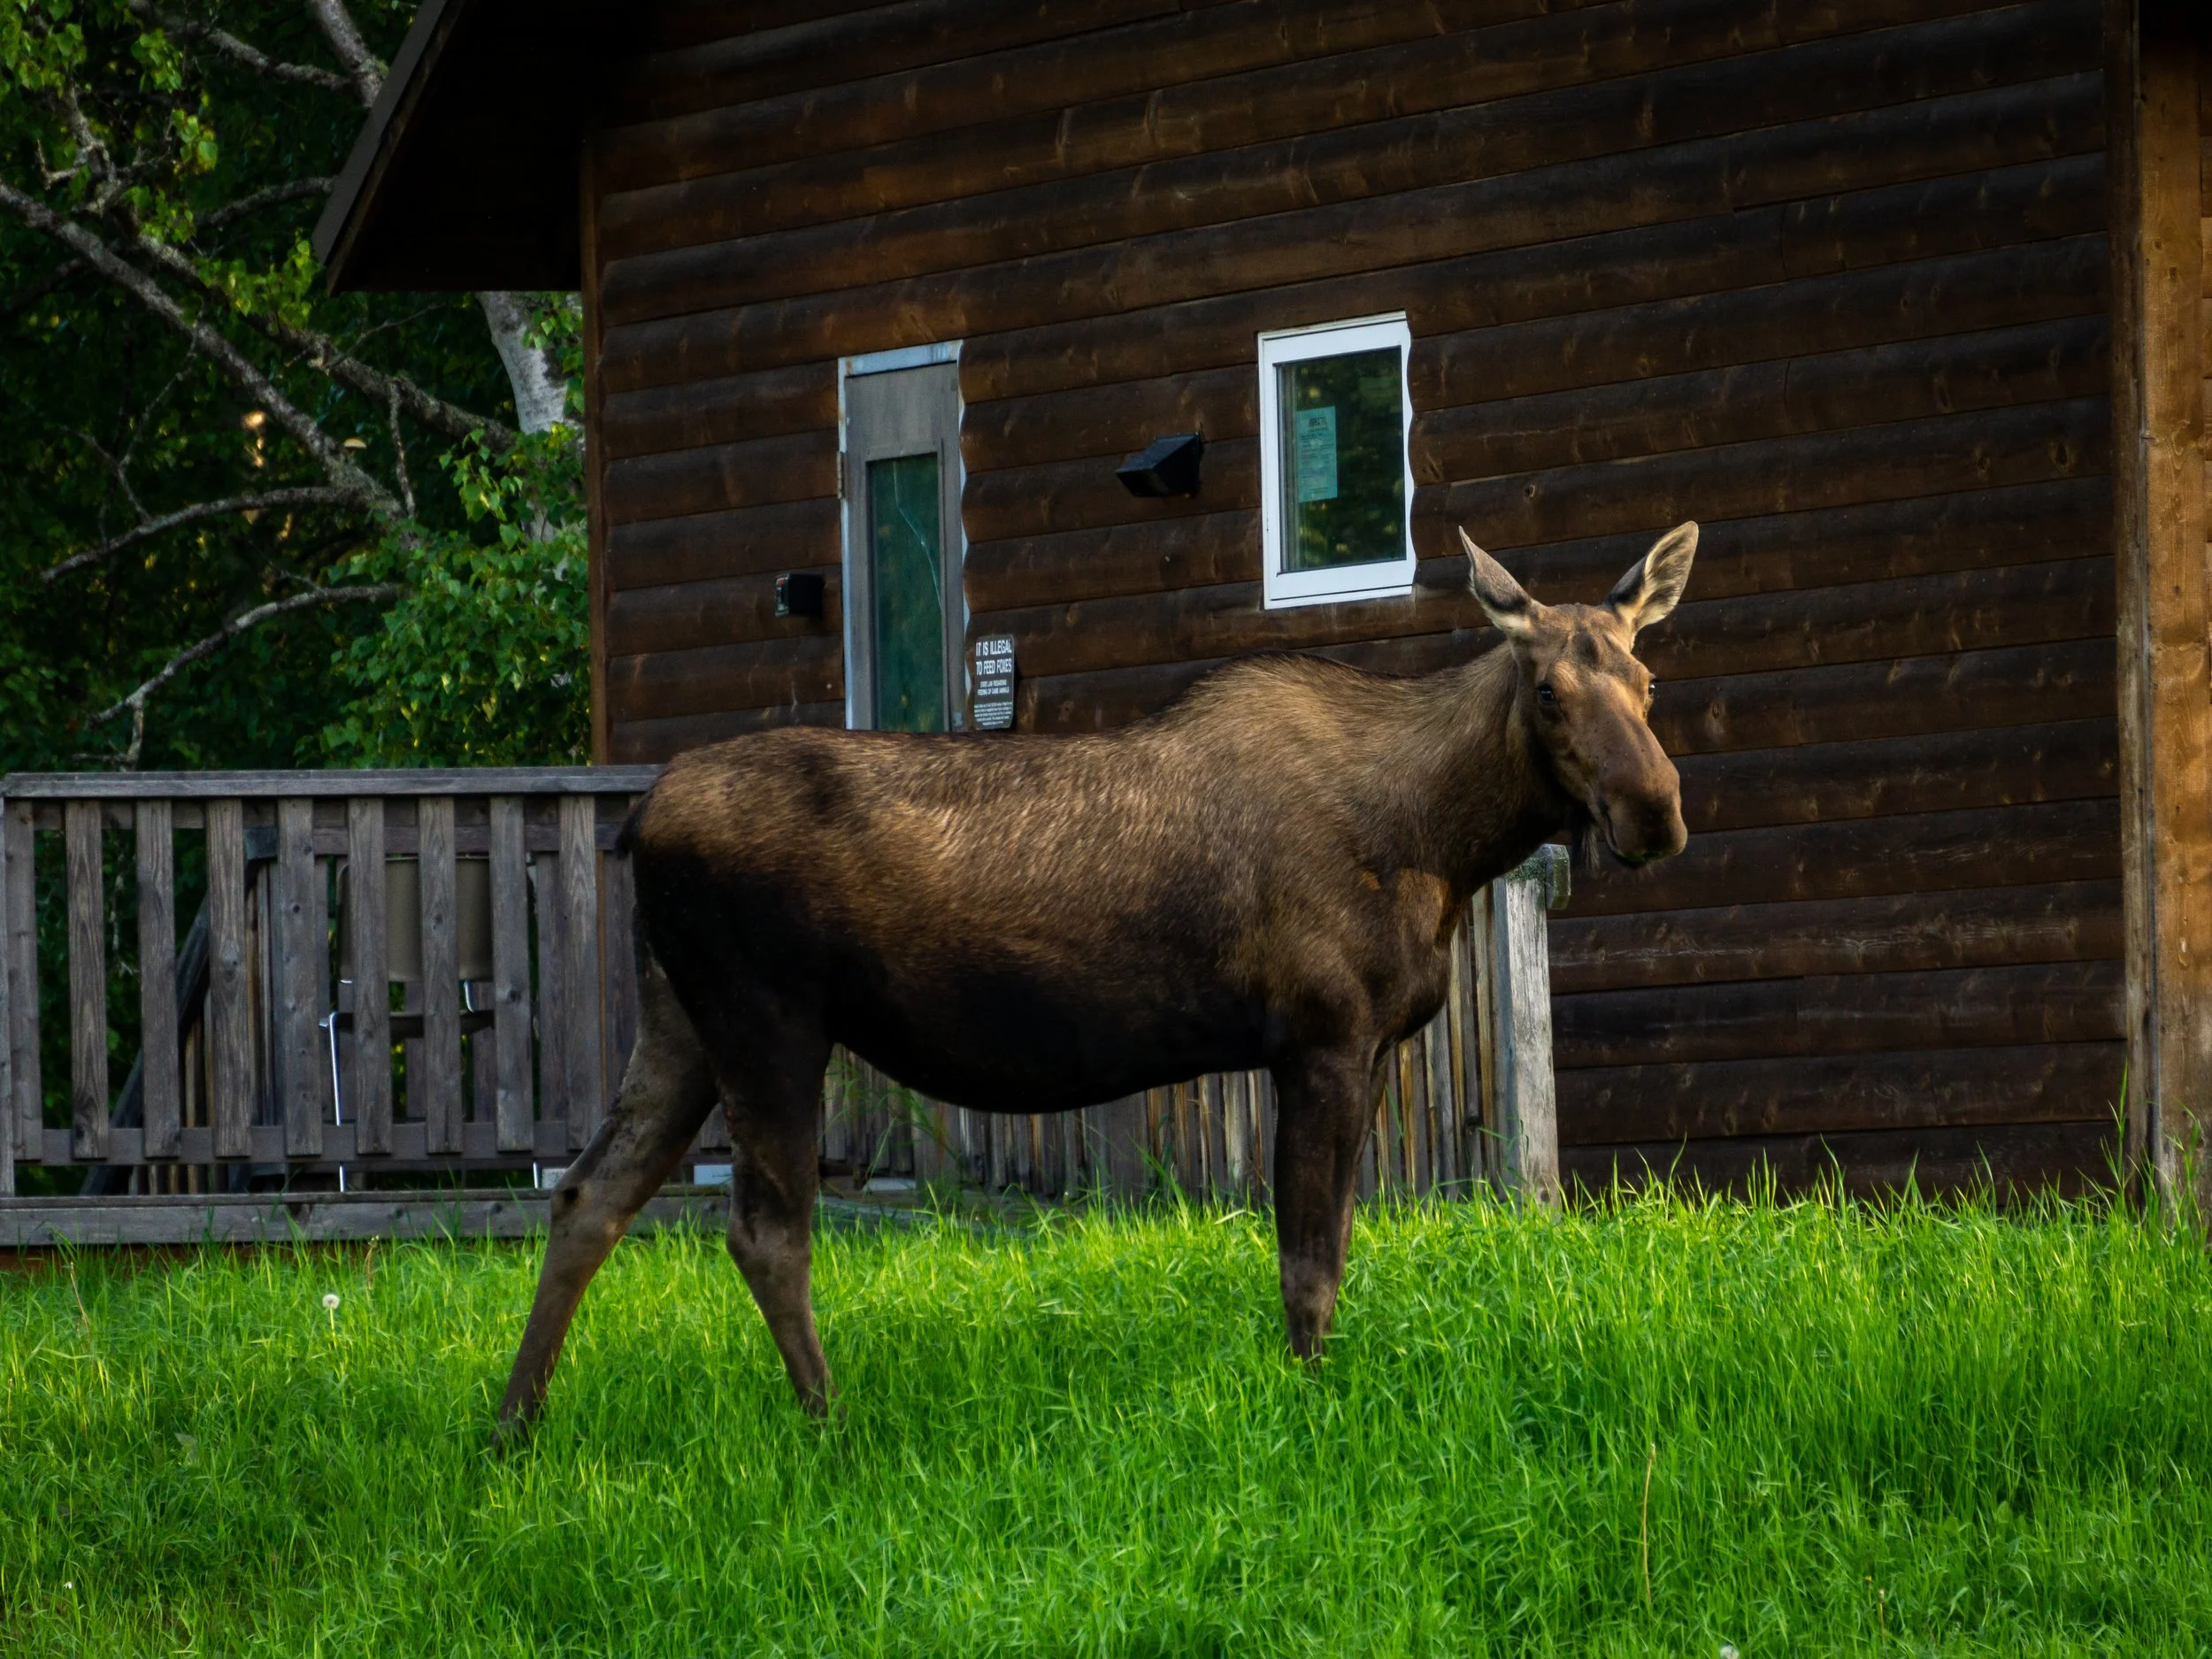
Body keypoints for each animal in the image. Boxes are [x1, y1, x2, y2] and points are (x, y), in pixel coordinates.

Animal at [492, 522, 1698, 1444]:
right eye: (1546, 689)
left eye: (1647, 679)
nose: (1655, 814)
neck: (1444, 846)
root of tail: (639, 824)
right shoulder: (1321, 1038)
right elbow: (1310, 1264)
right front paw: (1310, 1406)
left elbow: (1331, 1250)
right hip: (767, 1019)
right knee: (763, 1231)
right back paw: (827, 1422)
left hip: (678, 1019)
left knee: (586, 1196)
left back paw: (513, 1426)